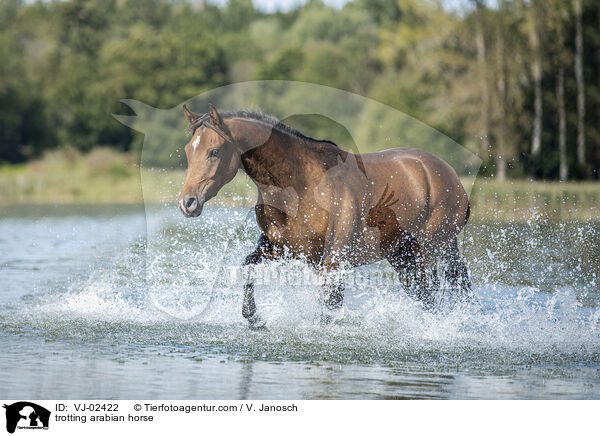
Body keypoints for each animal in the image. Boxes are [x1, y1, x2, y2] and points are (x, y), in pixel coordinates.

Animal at [178, 103, 474, 328]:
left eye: (214, 151)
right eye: (188, 151)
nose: (187, 203)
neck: (301, 185)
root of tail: (450, 177)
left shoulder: (333, 262)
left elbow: (329, 307)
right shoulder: (279, 248)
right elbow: (248, 267)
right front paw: (254, 318)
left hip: (425, 252)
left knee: (431, 295)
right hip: (402, 256)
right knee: (426, 296)